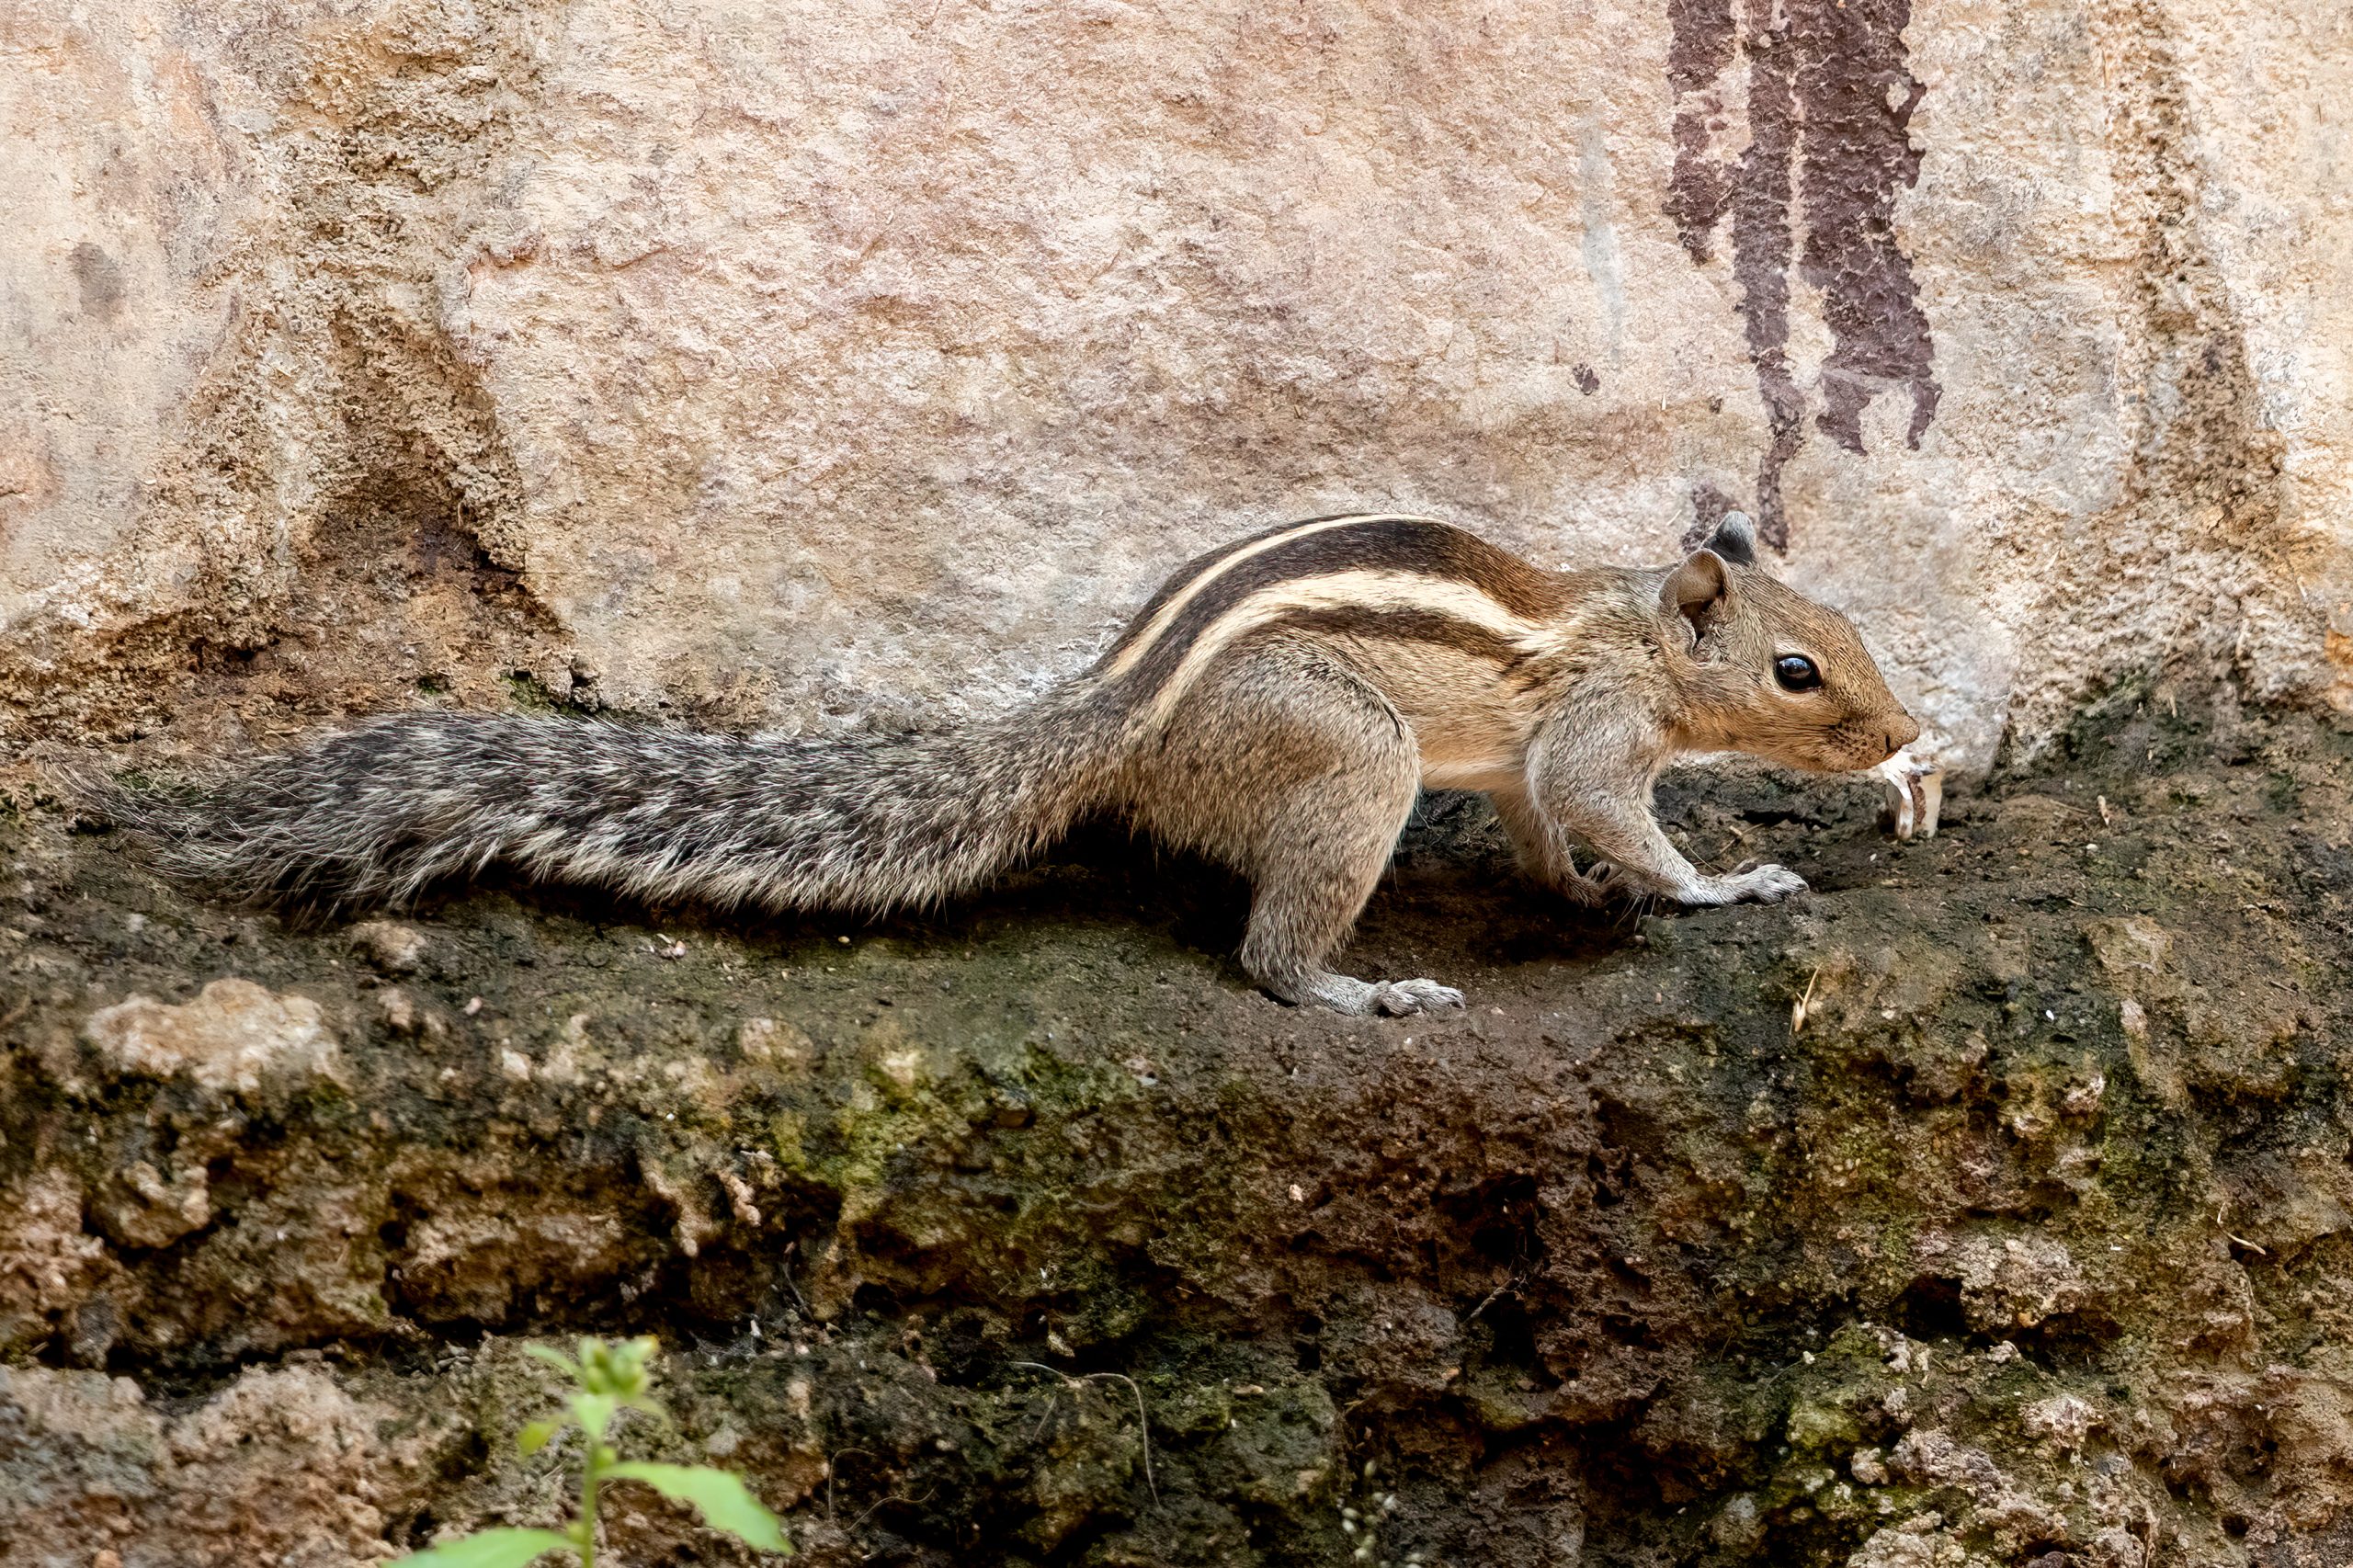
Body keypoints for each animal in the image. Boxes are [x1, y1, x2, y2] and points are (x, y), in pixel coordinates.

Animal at [96, 510, 1918, 1016]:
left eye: (1844, 626)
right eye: (1799, 668)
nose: (1907, 738)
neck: (1632, 629)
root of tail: (1118, 709)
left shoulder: (1532, 763)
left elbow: (1549, 823)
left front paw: (1583, 894)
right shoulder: (1595, 734)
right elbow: (1621, 812)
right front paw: (1724, 881)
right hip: (1354, 762)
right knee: (1267, 949)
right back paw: (1353, 985)